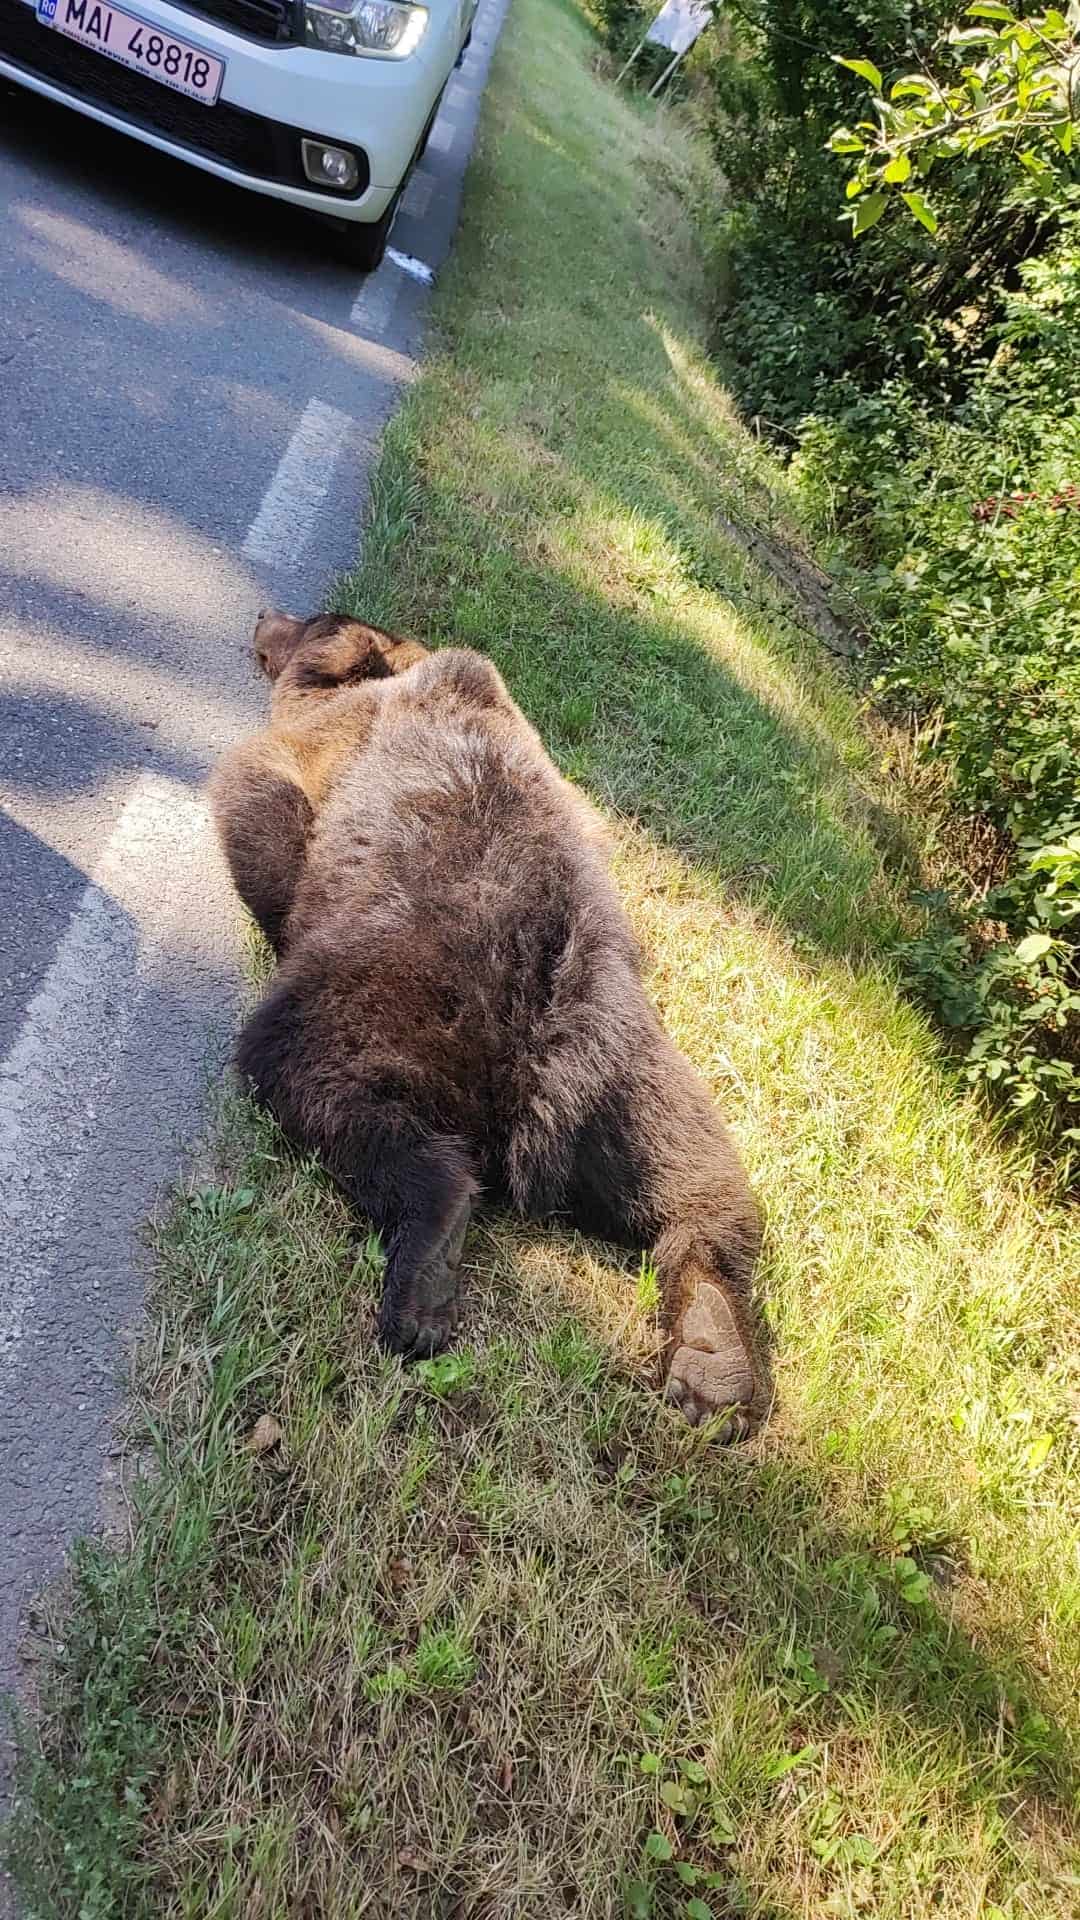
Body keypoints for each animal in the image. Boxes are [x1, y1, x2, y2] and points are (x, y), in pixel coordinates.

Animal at [210, 606, 760, 1436]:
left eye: (309, 621)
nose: (263, 615)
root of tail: (547, 1055)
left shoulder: (330, 740)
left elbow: (259, 793)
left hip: (382, 999)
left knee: (327, 1087)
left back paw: (422, 1278)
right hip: (641, 1080)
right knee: (699, 1187)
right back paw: (712, 1361)